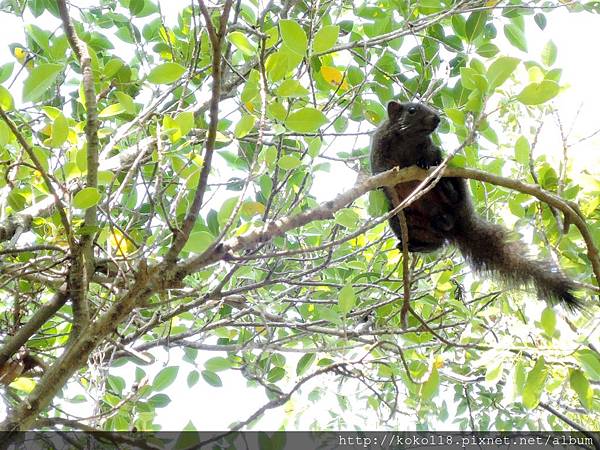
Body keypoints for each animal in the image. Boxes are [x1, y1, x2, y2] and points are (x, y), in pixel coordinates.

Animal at [370, 100, 580, 310]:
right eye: (412, 110)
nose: (437, 118)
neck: (408, 141)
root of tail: (455, 225)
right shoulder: (379, 148)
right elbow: (380, 171)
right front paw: (385, 179)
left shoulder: (432, 149)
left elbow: (433, 155)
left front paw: (424, 162)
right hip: (398, 217)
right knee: (436, 241)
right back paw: (415, 244)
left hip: (457, 186)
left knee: (451, 202)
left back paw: (446, 188)